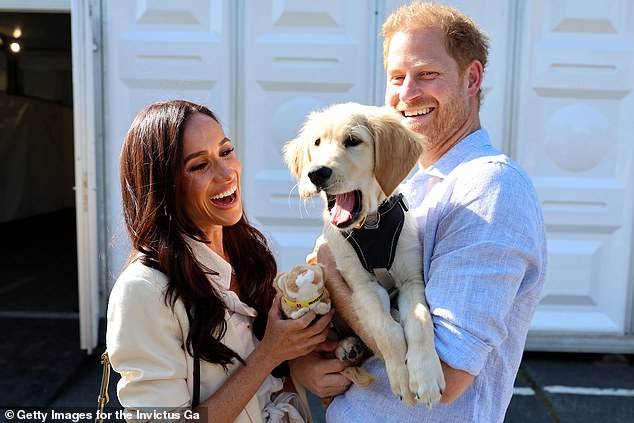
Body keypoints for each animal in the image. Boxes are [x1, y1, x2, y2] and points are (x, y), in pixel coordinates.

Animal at [284, 102, 442, 408]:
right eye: (317, 143)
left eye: (353, 141)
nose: (315, 173)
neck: (372, 225)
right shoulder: (362, 287)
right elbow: (387, 330)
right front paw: (402, 377)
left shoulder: (411, 280)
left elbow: (420, 322)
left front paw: (426, 377)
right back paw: (347, 347)